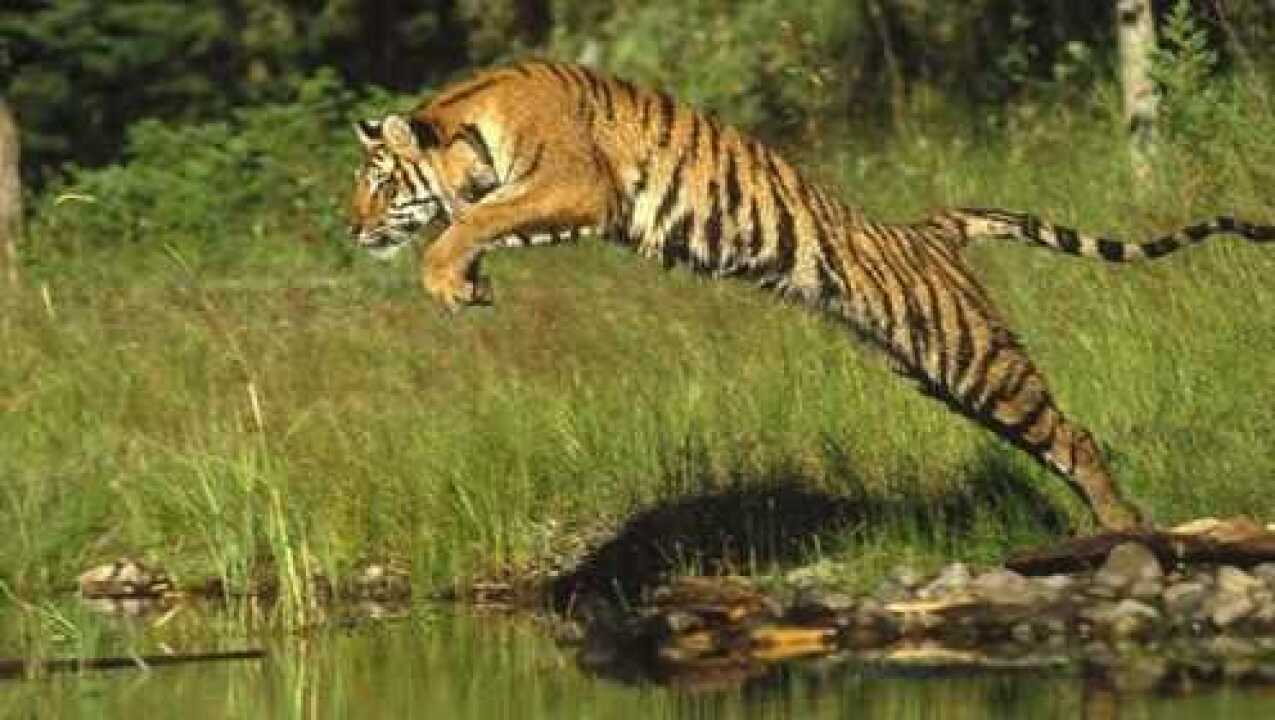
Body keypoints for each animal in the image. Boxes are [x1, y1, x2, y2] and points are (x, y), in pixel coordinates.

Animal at [347, 59, 1274, 531]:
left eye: (376, 182)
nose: (350, 228)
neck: (467, 124)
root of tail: (928, 227)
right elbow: (487, 222)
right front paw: (471, 281)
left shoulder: (576, 183)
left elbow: (471, 219)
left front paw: (446, 276)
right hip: (944, 374)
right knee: (1051, 439)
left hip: (974, 359)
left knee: (1073, 435)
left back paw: (1124, 528)